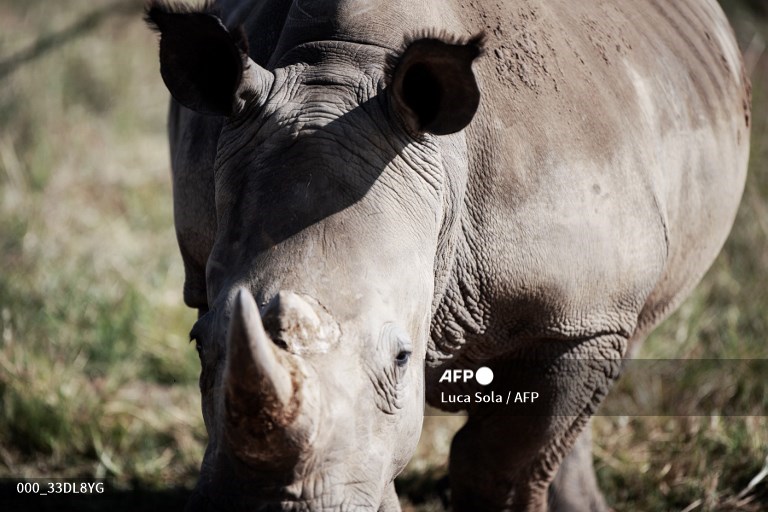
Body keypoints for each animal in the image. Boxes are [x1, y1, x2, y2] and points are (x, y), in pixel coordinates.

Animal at [146, 0, 750, 510]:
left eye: (401, 358)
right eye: (198, 343)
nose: (270, 507)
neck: (340, 72)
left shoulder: (583, 314)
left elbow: (502, 466)